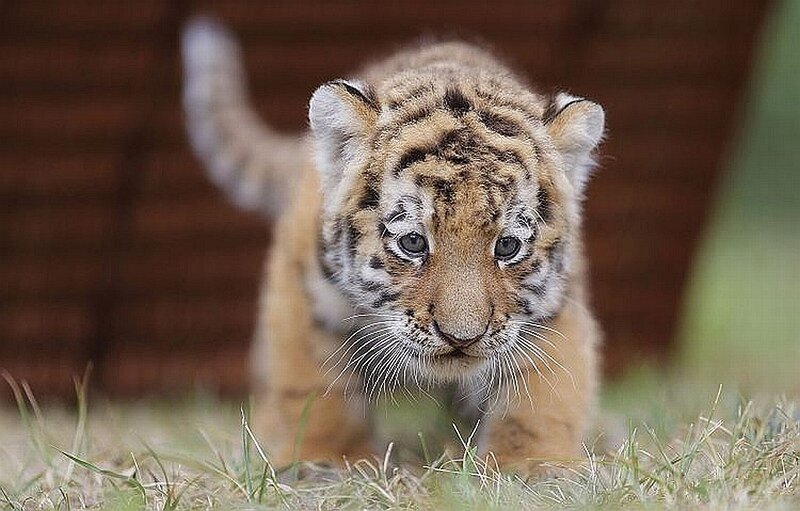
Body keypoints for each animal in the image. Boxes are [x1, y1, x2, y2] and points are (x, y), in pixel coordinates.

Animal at [182, 17, 604, 475]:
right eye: (413, 242)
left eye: (507, 246)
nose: (461, 338)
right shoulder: (305, 295)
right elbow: (314, 387)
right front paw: (327, 461)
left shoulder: (551, 306)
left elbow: (543, 393)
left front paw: (531, 466)